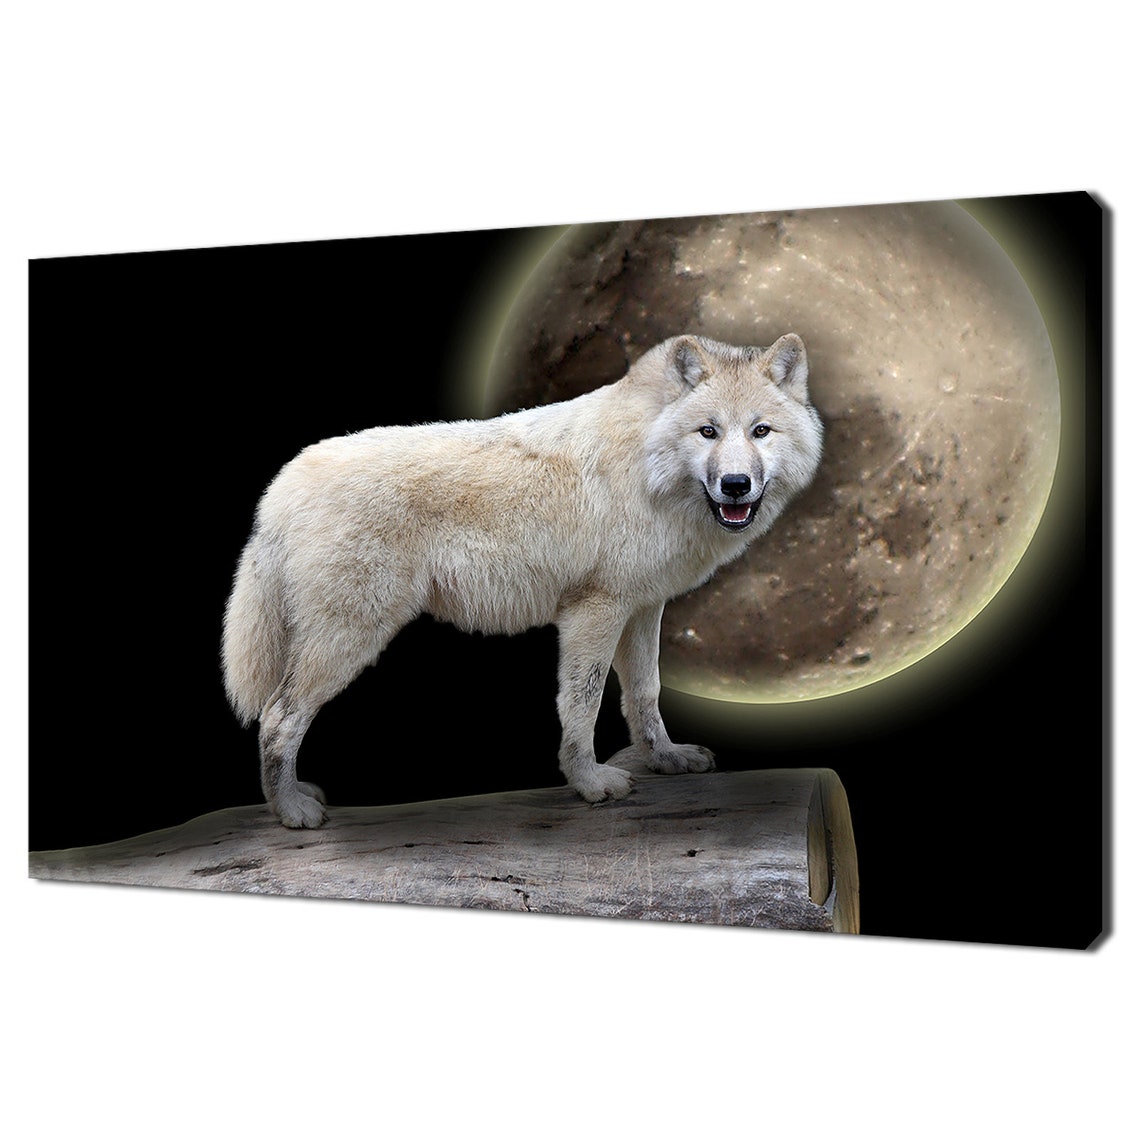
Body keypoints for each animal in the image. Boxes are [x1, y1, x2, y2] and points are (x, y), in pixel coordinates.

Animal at [222, 333, 823, 827]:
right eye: (708, 431)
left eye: (760, 431)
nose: (736, 484)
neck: (648, 469)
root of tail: (282, 485)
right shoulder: (594, 610)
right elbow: (582, 701)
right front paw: (590, 784)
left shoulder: (642, 607)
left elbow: (644, 693)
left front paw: (665, 758)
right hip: (349, 638)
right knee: (277, 718)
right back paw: (290, 812)